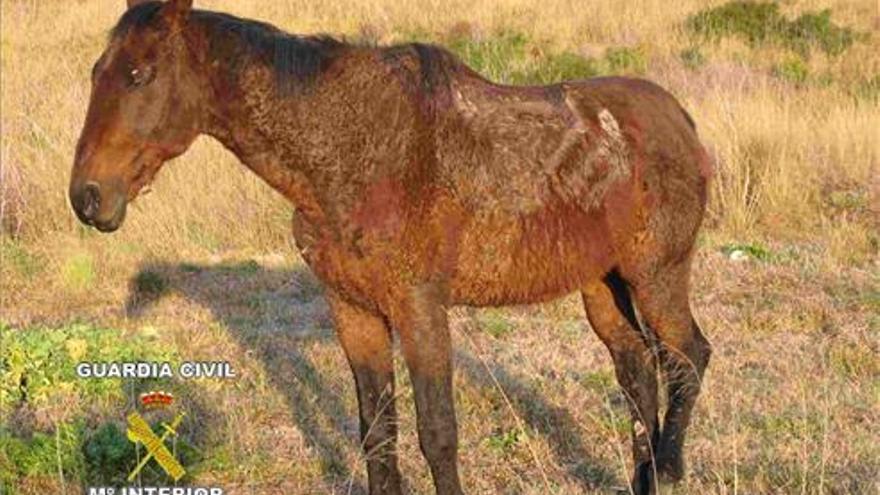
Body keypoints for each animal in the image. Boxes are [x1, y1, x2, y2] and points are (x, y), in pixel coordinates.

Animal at [70, 1, 716, 494]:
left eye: (140, 75)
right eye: (97, 70)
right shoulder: (354, 313)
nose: (88, 197)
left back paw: (669, 469)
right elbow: (377, 433)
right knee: (637, 372)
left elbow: (437, 432)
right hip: (603, 286)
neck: (353, 151)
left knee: (687, 358)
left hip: (656, 275)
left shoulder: (420, 310)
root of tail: (681, 118)